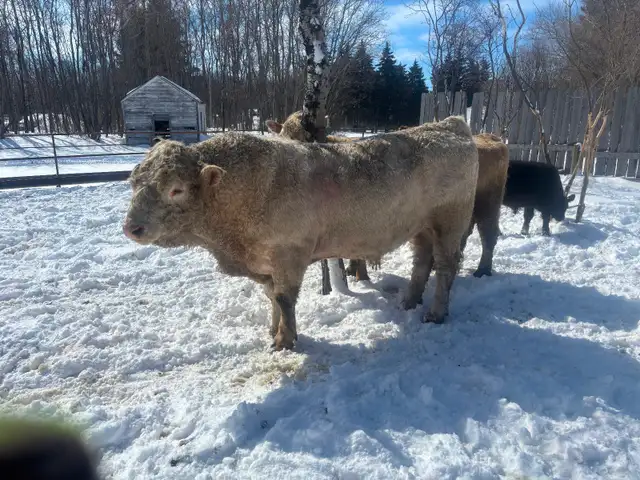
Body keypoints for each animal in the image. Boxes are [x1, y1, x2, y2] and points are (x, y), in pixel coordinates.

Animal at [123, 116, 479, 350]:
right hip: (423, 227)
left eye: (176, 189)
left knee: (445, 267)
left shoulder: (289, 253)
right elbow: (271, 296)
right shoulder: (265, 261)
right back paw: (409, 301)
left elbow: (284, 298)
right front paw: (273, 329)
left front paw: (285, 340)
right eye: (134, 183)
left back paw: (435, 312)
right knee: (422, 262)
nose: (132, 227)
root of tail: (449, 124)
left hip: (450, 222)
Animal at [266, 113, 509, 278]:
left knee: (488, 234)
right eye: (283, 135)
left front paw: (360, 273)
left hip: (486, 202)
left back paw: (482, 270)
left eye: (306, 137)